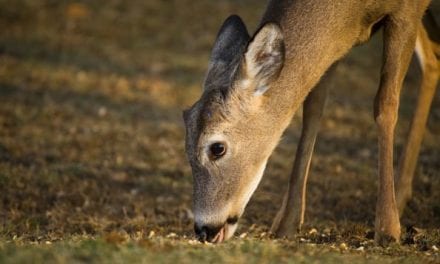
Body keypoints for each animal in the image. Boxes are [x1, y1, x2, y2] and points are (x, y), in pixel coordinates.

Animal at [182, 0, 440, 245]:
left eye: (217, 148)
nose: (205, 230)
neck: (354, 12)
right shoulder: (337, 42)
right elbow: (313, 107)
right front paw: (286, 224)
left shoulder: (406, 12)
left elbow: (385, 104)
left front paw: (387, 229)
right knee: (433, 58)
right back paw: (402, 195)